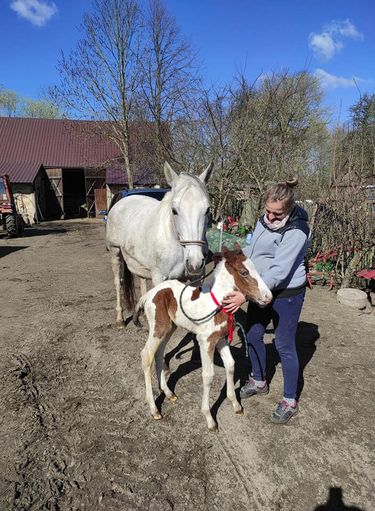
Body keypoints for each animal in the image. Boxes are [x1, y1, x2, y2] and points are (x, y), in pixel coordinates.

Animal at [106, 161, 213, 328]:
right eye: (174, 210)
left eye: (208, 209)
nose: (194, 263)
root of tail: (119, 203)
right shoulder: (159, 278)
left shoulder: (197, 279)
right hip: (114, 251)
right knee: (118, 282)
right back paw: (120, 319)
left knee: (141, 279)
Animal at [134, 246, 274, 430]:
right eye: (244, 272)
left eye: (255, 268)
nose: (268, 297)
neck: (216, 306)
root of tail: (149, 293)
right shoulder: (205, 342)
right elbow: (208, 375)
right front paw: (209, 418)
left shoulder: (221, 339)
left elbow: (230, 365)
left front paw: (236, 405)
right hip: (159, 328)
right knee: (146, 355)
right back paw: (154, 409)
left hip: (169, 328)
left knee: (159, 354)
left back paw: (168, 392)